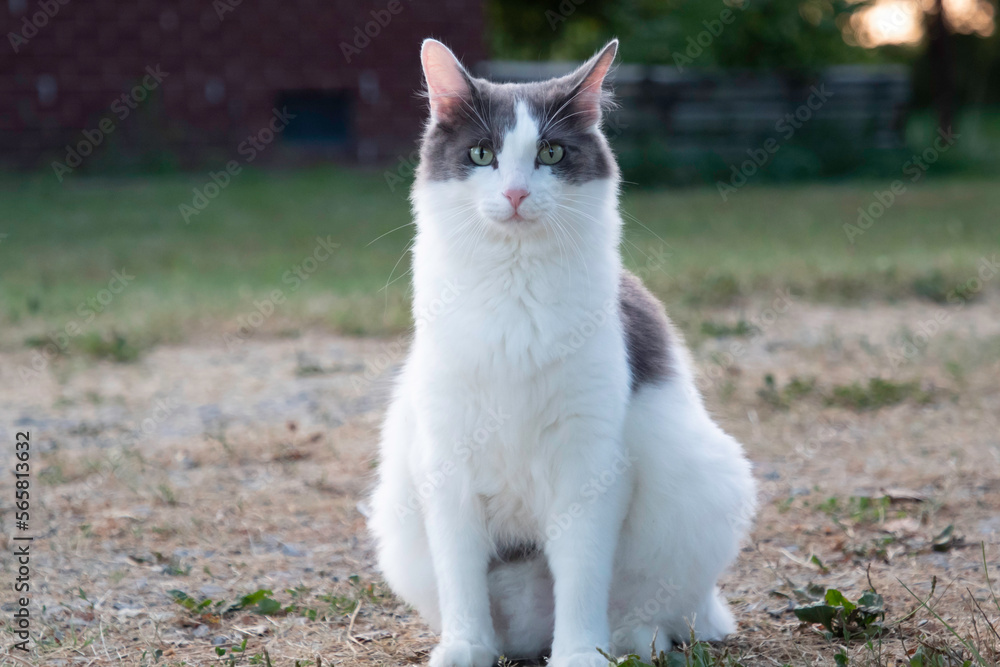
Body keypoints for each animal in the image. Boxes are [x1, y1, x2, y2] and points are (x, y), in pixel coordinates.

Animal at [368, 40, 756, 667]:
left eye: (550, 153)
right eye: (482, 154)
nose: (515, 193)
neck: (514, 293)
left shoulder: (588, 464)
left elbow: (580, 575)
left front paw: (579, 653)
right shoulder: (447, 460)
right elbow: (461, 578)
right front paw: (466, 647)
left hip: (706, 483)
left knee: (660, 607)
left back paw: (631, 640)